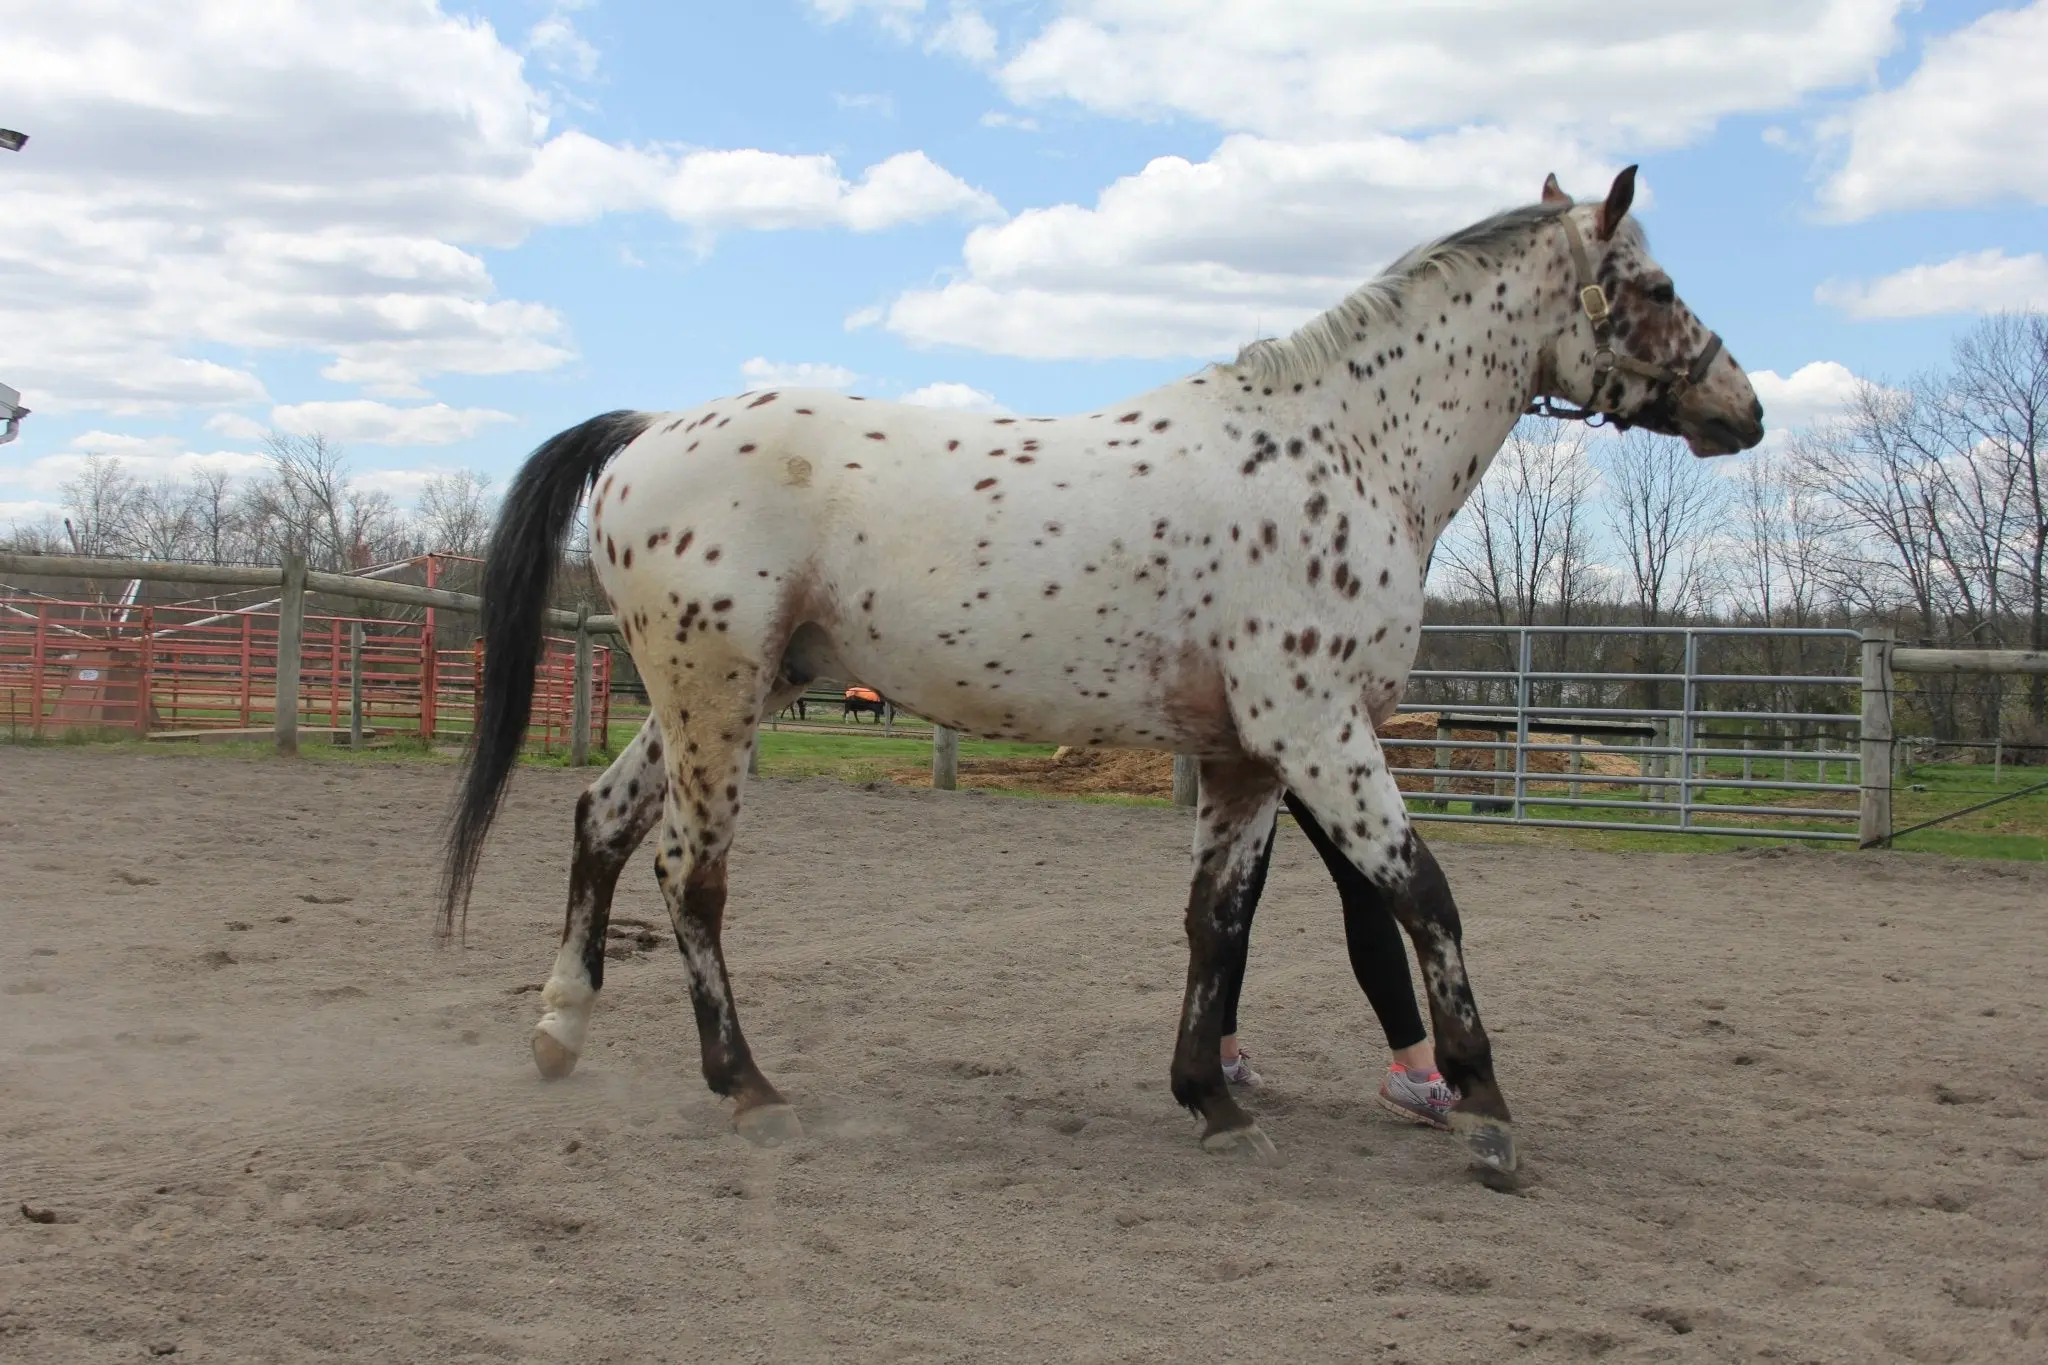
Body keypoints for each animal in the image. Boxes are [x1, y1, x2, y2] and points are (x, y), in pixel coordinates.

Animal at [441, 167, 1762, 1174]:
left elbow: (1216, 923)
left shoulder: (1245, 757)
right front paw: (1485, 1109)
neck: (1341, 456)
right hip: (714, 698)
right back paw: (747, 1087)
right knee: (689, 872)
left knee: (602, 821)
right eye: (1654, 287)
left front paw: (1211, 1099)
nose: (1741, 409)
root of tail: (647, 432)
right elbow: (1422, 895)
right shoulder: (1317, 734)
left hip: (713, 693)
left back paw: (561, 1029)